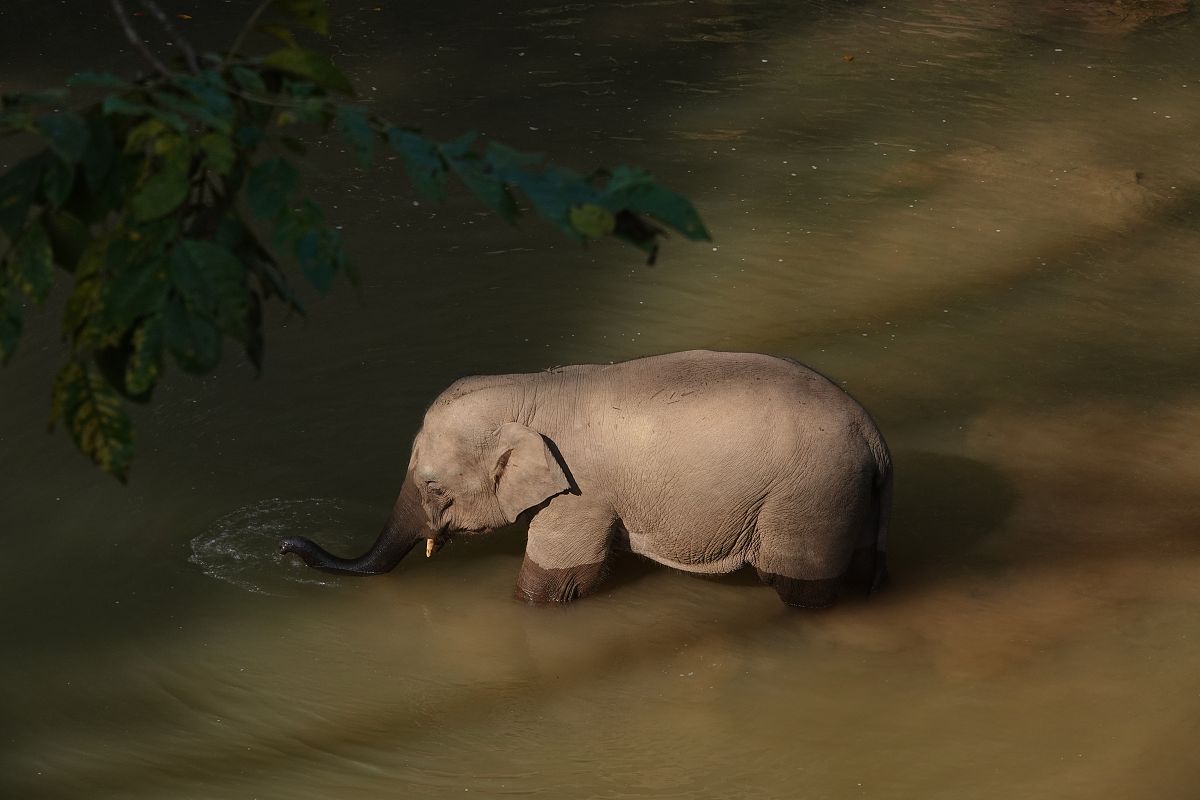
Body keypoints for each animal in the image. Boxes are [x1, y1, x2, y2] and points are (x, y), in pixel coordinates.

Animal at [281, 350, 892, 608]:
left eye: (433, 486)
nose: (285, 546)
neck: (529, 389)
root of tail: (876, 441)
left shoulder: (580, 494)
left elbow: (557, 580)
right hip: (853, 498)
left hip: (811, 498)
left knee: (799, 586)